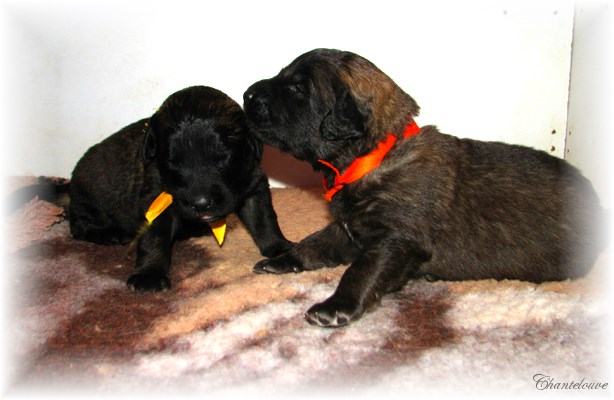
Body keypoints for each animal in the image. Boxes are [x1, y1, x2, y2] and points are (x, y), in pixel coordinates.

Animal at [71, 85, 292, 290]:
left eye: (223, 158)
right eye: (173, 162)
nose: (201, 204)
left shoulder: (254, 184)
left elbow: (263, 219)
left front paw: (279, 247)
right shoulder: (156, 200)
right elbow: (154, 238)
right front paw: (149, 276)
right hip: (88, 203)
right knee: (79, 227)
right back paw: (110, 234)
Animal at [243, 47, 608, 328]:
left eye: (297, 89)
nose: (247, 94)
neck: (374, 156)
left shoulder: (395, 240)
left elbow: (361, 271)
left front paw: (335, 307)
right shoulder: (346, 229)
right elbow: (316, 242)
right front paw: (285, 258)